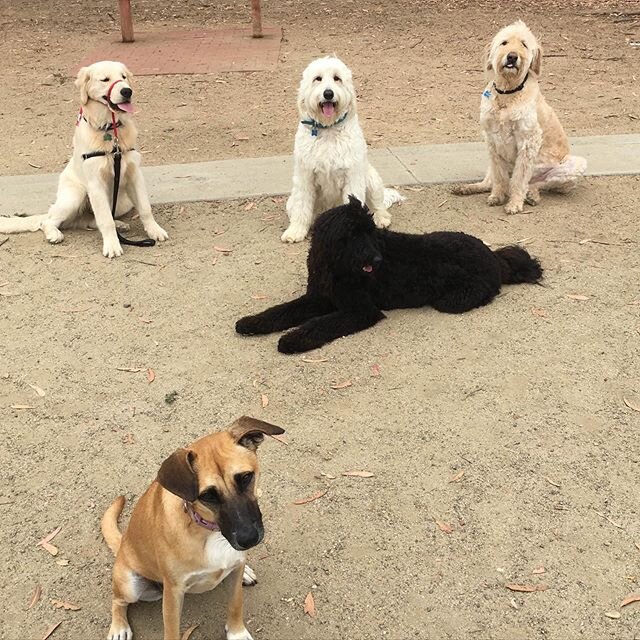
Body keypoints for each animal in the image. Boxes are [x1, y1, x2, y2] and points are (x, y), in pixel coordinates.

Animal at [0, 60, 168, 258]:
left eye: (123, 77)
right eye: (105, 79)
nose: (127, 91)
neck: (110, 129)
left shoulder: (135, 175)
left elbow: (145, 208)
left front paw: (155, 230)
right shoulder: (95, 184)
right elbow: (105, 219)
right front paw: (112, 245)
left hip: (122, 202)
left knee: (90, 220)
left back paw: (119, 225)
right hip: (75, 195)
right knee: (48, 221)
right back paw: (54, 234)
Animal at [101, 416, 284, 640]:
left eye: (246, 477)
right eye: (208, 495)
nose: (248, 538)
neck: (210, 531)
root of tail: (123, 544)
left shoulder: (235, 570)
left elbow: (236, 604)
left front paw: (237, 633)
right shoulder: (173, 593)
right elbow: (171, 632)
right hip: (130, 585)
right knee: (117, 600)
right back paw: (119, 627)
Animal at [238, 196, 544, 356]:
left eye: (371, 232)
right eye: (352, 235)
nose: (377, 259)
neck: (337, 268)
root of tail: (493, 256)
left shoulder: (360, 310)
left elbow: (319, 325)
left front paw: (292, 340)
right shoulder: (317, 298)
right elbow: (281, 311)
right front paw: (251, 322)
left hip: (453, 299)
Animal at [280, 56, 400, 242]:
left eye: (337, 78)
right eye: (318, 79)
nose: (328, 93)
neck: (328, 129)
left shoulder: (352, 177)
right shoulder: (305, 177)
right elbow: (302, 207)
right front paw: (296, 231)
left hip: (371, 179)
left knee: (378, 206)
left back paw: (381, 219)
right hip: (291, 201)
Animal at [452, 20, 588, 215]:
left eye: (524, 44)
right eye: (504, 42)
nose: (512, 57)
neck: (507, 93)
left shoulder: (528, 142)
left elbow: (519, 179)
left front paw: (514, 203)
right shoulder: (492, 143)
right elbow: (499, 177)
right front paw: (497, 196)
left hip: (572, 166)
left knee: (539, 184)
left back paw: (532, 195)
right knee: (489, 182)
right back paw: (468, 188)